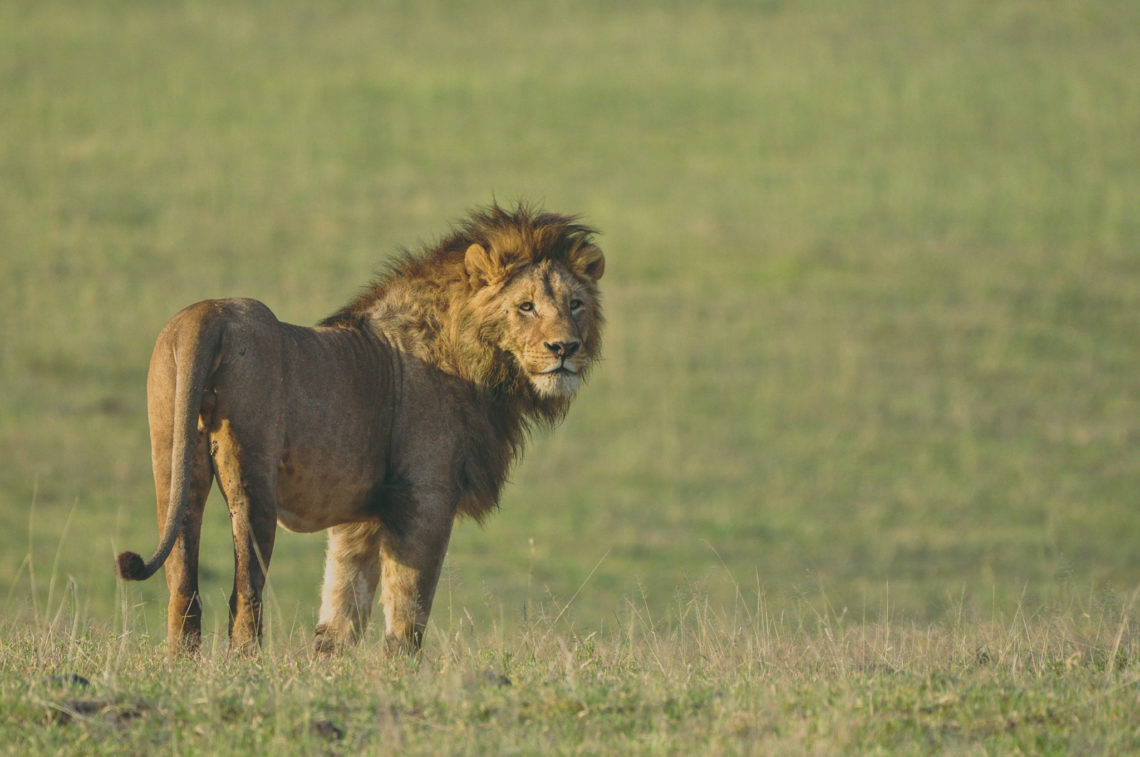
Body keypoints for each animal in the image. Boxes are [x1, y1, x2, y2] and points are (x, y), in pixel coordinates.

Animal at [115, 204, 606, 652]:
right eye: (526, 307)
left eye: (575, 304)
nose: (565, 348)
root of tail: (209, 314)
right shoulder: (423, 499)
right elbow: (407, 617)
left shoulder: (361, 518)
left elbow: (338, 617)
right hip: (253, 479)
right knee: (244, 596)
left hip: (173, 456)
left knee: (183, 584)